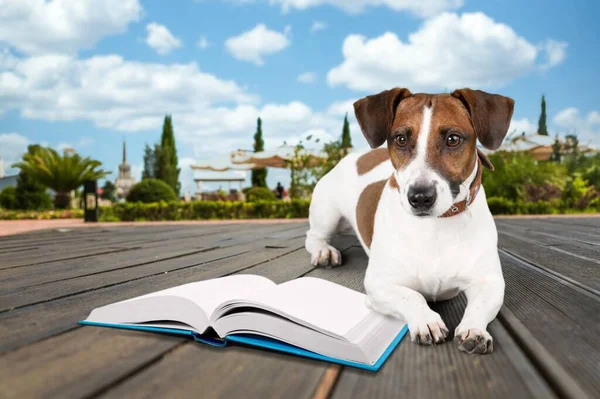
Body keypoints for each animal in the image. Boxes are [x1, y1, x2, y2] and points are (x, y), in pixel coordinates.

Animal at [308, 88, 512, 356]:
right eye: (401, 139)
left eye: (453, 139)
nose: (420, 197)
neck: (436, 225)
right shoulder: (379, 285)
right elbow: (412, 297)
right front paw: (426, 321)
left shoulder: (489, 282)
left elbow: (479, 305)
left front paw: (474, 330)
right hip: (327, 213)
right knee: (314, 236)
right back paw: (324, 252)